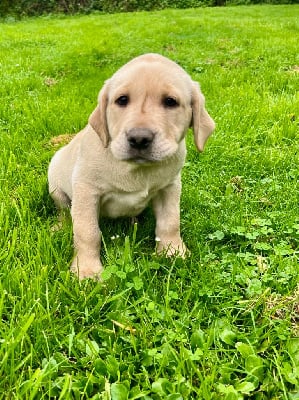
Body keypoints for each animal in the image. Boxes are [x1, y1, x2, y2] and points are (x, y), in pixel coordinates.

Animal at [47, 53, 216, 280]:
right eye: (122, 100)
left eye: (170, 102)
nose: (139, 139)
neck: (136, 169)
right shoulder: (86, 191)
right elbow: (87, 232)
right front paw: (87, 270)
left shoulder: (170, 187)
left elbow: (171, 221)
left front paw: (174, 252)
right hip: (56, 184)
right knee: (65, 212)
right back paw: (60, 226)